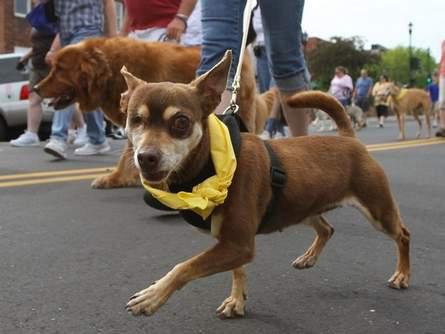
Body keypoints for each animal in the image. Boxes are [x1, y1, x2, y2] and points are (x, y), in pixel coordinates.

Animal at [119, 51, 408, 318]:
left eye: (181, 122)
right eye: (135, 120)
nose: (146, 157)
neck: (209, 166)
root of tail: (349, 138)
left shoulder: (238, 244)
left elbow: (185, 267)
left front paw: (153, 295)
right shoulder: (232, 243)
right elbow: (237, 272)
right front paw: (237, 301)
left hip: (378, 210)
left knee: (402, 235)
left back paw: (402, 275)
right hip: (302, 206)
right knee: (327, 228)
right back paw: (309, 257)